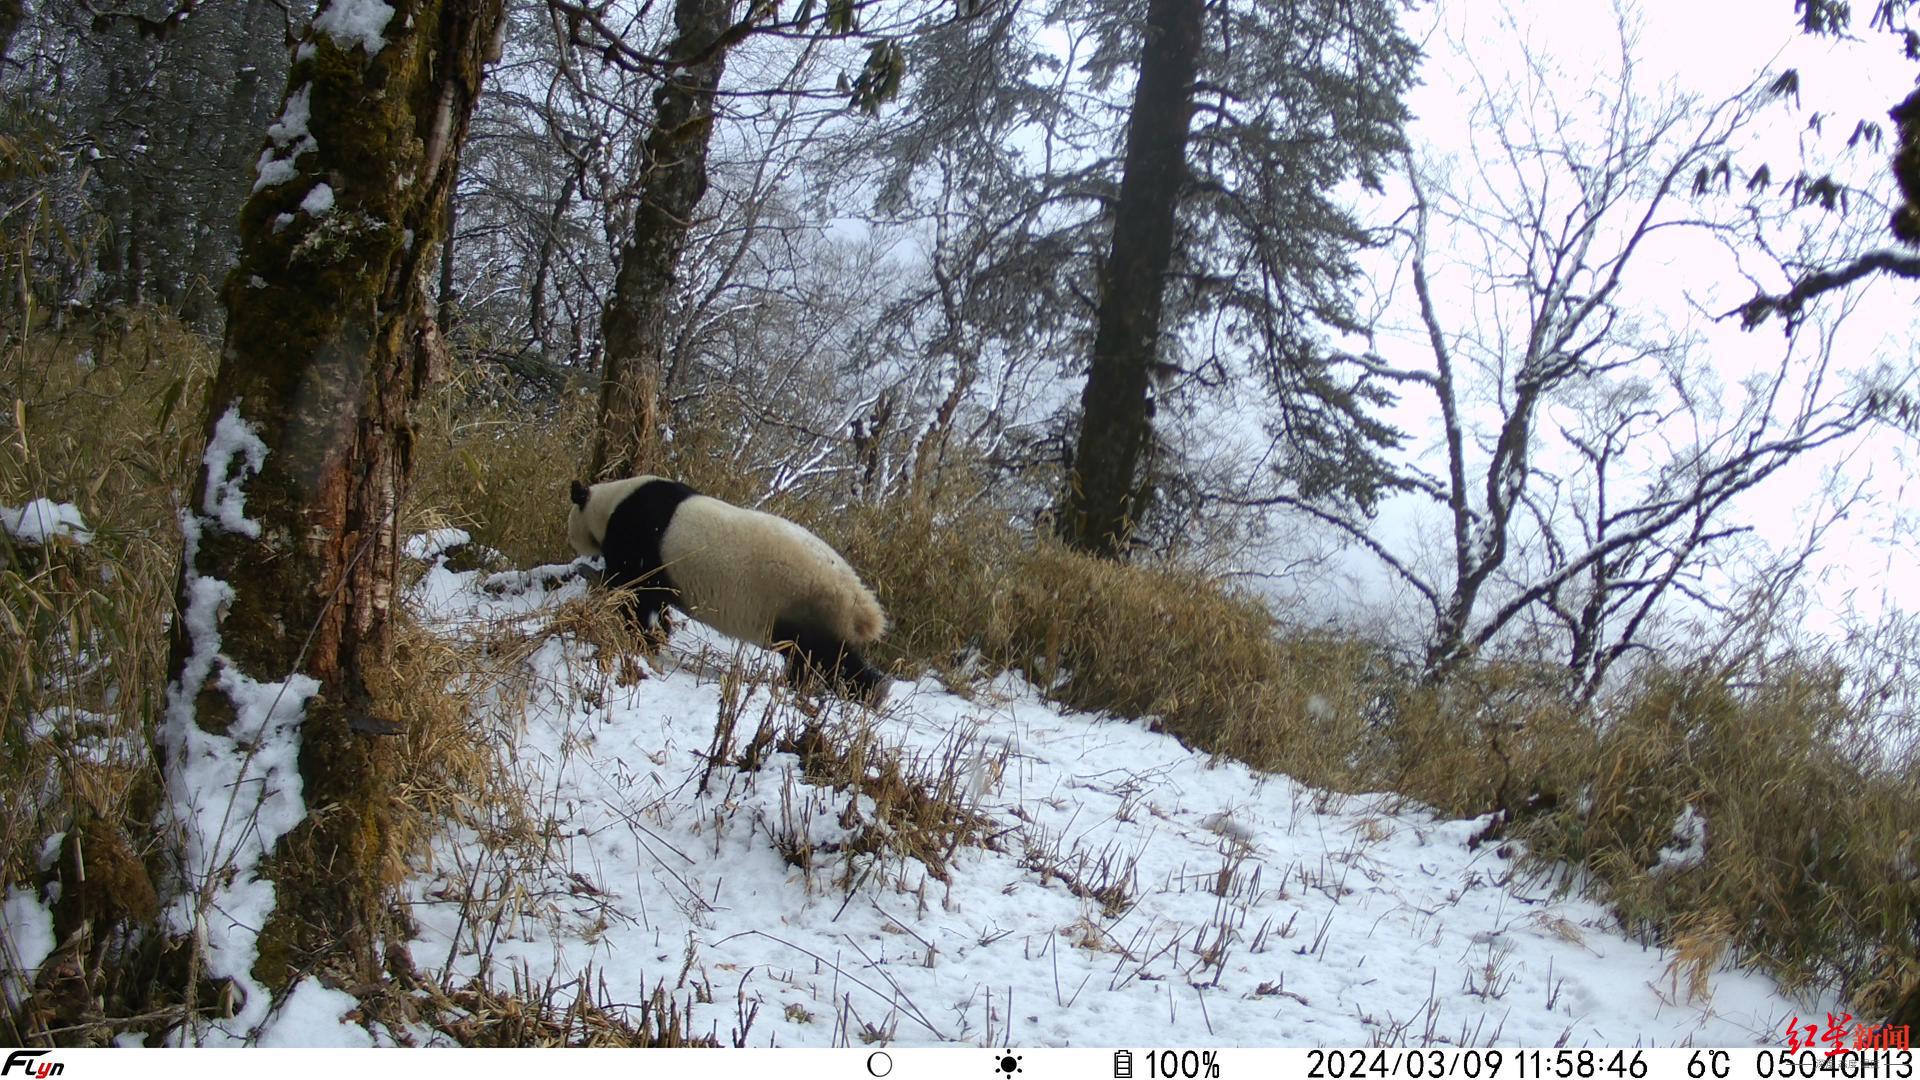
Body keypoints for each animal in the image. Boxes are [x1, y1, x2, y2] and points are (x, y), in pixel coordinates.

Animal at [564, 472, 887, 699]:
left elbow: (632, 590)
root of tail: (860, 601)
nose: (578, 551)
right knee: (815, 658)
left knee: (828, 658)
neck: (612, 502)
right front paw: (659, 633)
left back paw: (866, 694)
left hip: (807, 603)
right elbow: (654, 599)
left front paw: (639, 634)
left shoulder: (641, 536)